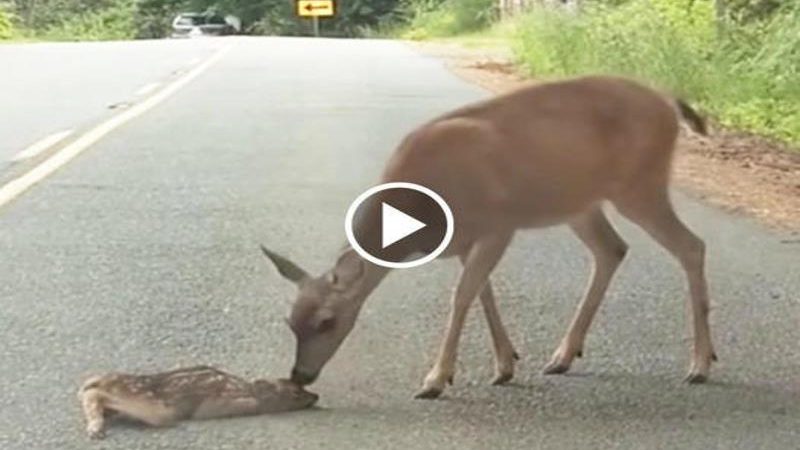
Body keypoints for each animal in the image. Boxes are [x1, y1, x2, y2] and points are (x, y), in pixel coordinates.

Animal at [262, 75, 720, 400]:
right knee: (612, 249)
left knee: (692, 245)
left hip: (640, 184)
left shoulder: (498, 225)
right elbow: (483, 292)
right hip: (579, 202)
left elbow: (463, 295)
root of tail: (667, 101)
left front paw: (436, 379)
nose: (299, 376)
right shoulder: (468, 240)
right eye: (289, 321)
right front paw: (505, 365)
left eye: (327, 320)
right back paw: (563, 356)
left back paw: (700, 364)